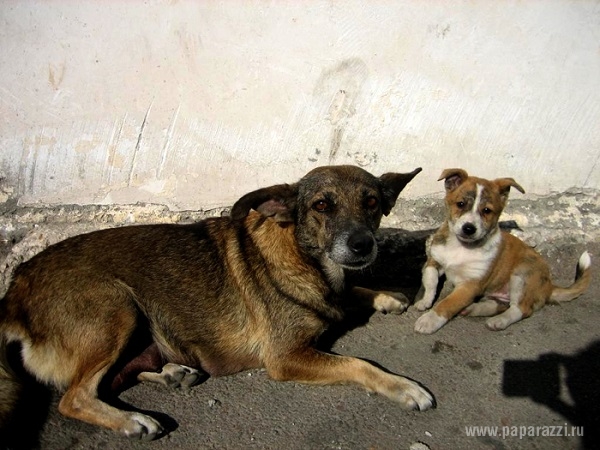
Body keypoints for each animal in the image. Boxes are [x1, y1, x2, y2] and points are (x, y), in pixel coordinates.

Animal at [0, 164, 432, 440]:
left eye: (372, 202)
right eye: (322, 205)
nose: (363, 245)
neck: (307, 258)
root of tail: (16, 287)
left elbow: (353, 291)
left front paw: (388, 296)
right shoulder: (286, 357)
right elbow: (359, 364)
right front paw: (403, 387)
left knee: (109, 381)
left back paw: (173, 374)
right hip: (116, 305)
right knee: (74, 396)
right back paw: (133, 421)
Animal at [412, 168, 592, 334]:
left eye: (487, 211)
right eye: (460, 204)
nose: (469, 228)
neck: (461, 246)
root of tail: (549, 285)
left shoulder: (470, 285)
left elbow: (448, 303)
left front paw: (429, 320)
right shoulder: (434, 261)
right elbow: (431, 280)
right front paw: (425, 301)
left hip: (523, 273)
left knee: (520, 309)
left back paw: (499, 321)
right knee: (500, 304)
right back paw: (474, 309)